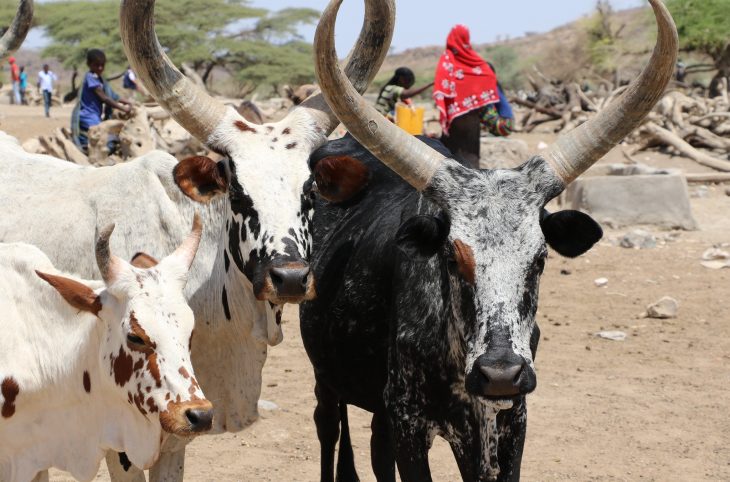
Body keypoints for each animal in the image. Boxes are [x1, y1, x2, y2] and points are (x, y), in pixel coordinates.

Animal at [300, 1, 676, 480]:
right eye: (450, 258)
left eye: (540, 259)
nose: (500, 374)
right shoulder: (409, 421)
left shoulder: (508, 421)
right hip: (325, 377)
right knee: (328, 430)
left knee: (375, 448)